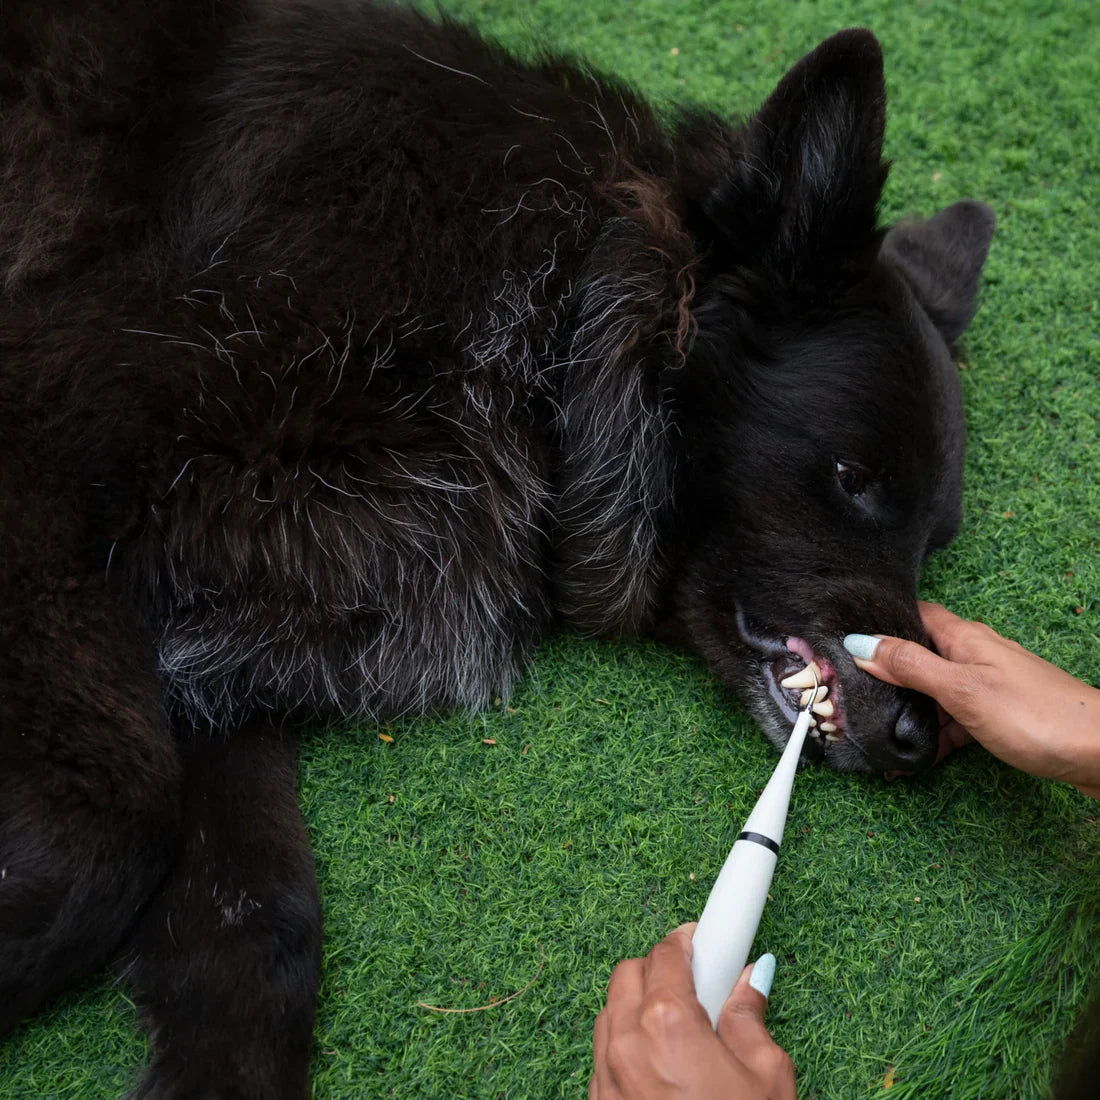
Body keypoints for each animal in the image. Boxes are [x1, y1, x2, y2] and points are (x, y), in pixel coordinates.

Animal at [2, 4, 998, 1095]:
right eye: (853, 479)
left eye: (930, 538)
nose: (923, 735)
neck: (555, 310)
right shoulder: (50, 465)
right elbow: (109, 828)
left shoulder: (220, 644)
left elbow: (260, 925)